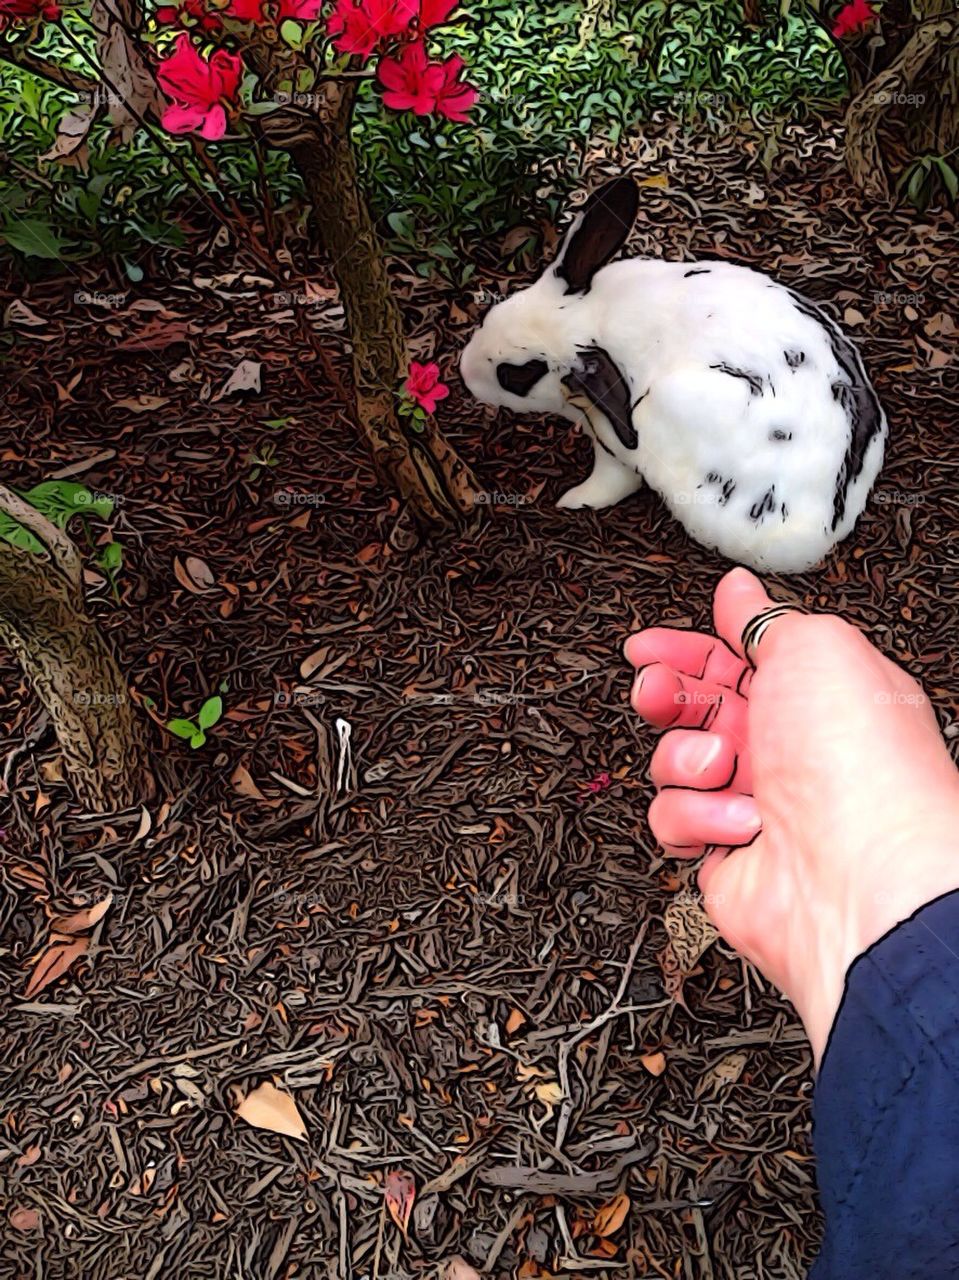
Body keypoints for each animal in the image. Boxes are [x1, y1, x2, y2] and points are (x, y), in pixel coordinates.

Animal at [459, 176, 887, 573]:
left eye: (517, 375)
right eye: (490, 315)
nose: (464, 372)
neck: (598, 318)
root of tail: (817, 536)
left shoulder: (613, 442)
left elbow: (610, 483)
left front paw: (573, 500)